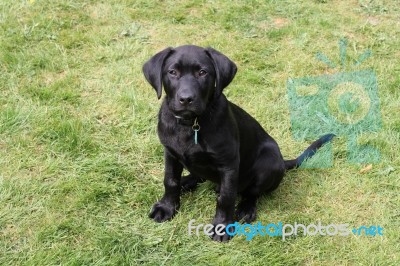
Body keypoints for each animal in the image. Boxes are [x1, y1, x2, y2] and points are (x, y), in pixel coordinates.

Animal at [142, 45, 332, 241]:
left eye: (202, 72)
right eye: (172, 72)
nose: (186, 99)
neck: (191, 124)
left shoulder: (229, 163)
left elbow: (226, 197)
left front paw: (222, 226)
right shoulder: (170, 153)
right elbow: (170, 181)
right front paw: (167, 207)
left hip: (269, 162)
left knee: (252, 192)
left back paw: (246, 208)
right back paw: (186, 181)